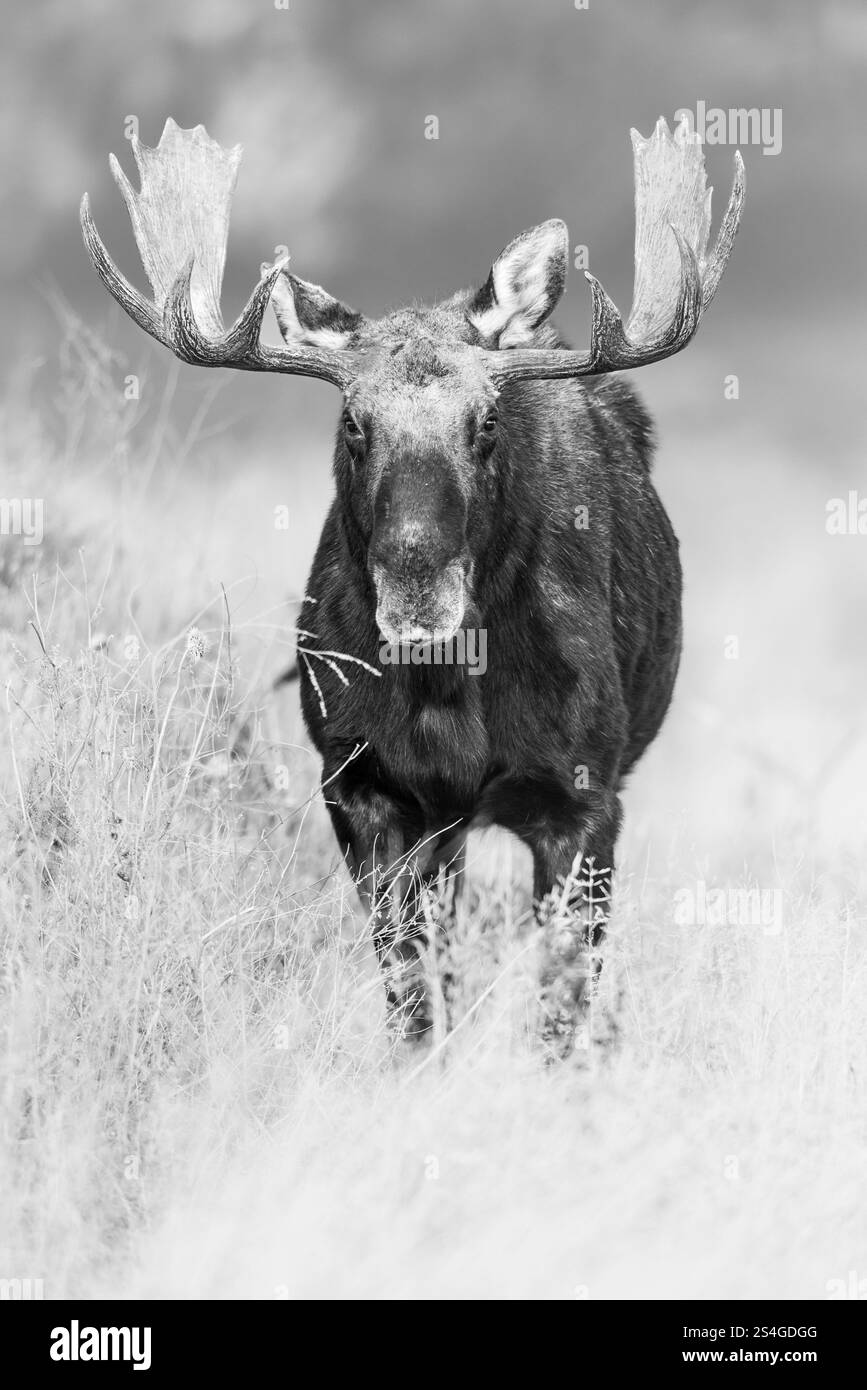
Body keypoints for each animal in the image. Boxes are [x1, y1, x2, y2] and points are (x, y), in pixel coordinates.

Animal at [81, 116, 744, 1053]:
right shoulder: (364, 785)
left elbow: (562, 1005)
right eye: (354, 423)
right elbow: (410, 994)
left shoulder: (585, 794)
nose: (415, 575)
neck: (449, 696)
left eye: (487, 423)